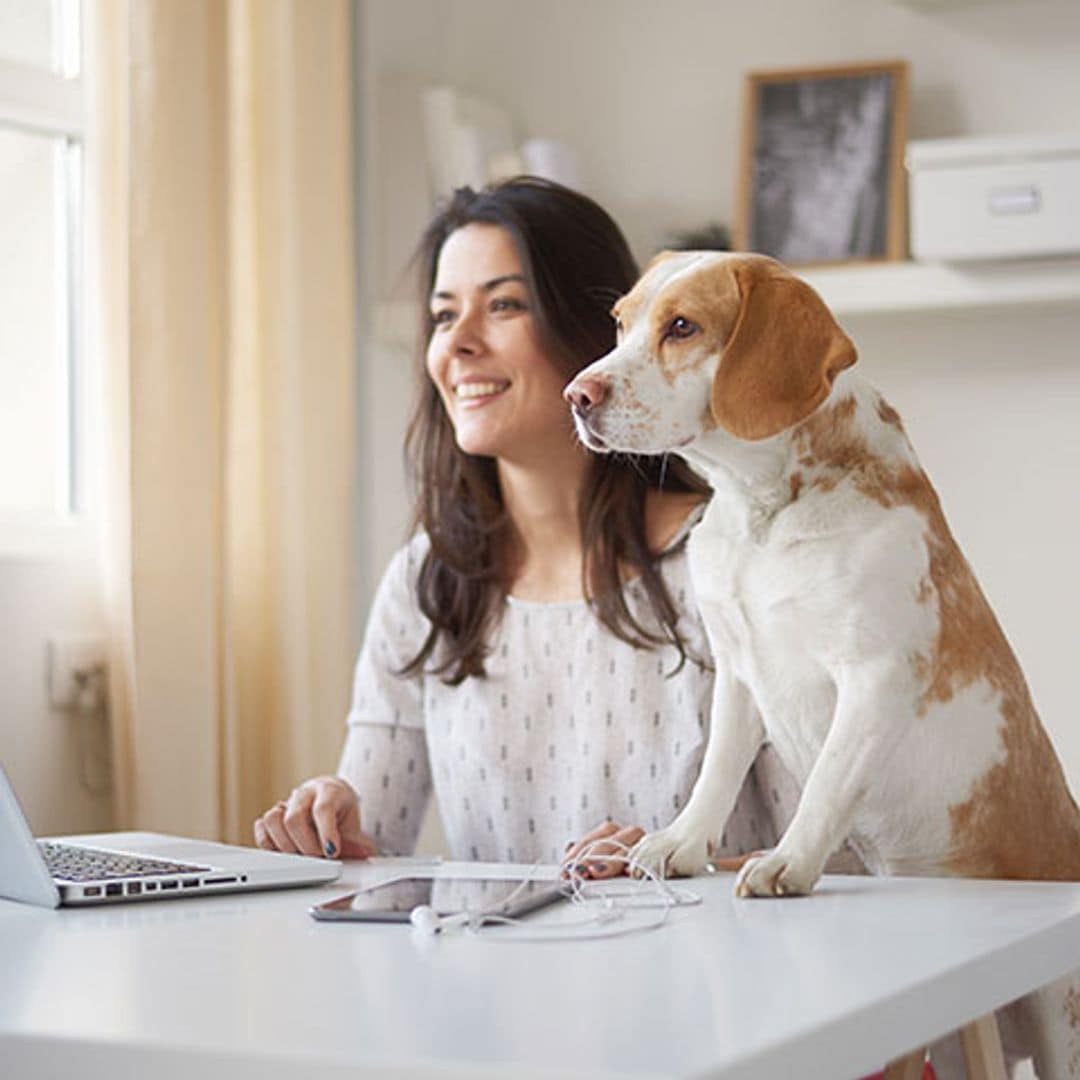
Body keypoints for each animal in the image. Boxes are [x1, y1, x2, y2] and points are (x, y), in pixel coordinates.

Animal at [565, 250, 1080, 1071]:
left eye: (683, 327)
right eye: (620, 322)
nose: (576, 396)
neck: (762, 513)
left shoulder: (874, 676)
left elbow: (828, 785)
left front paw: (788, 863)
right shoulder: (739, 673)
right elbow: (715, 775)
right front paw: (680, 843)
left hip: (1061, 1026)